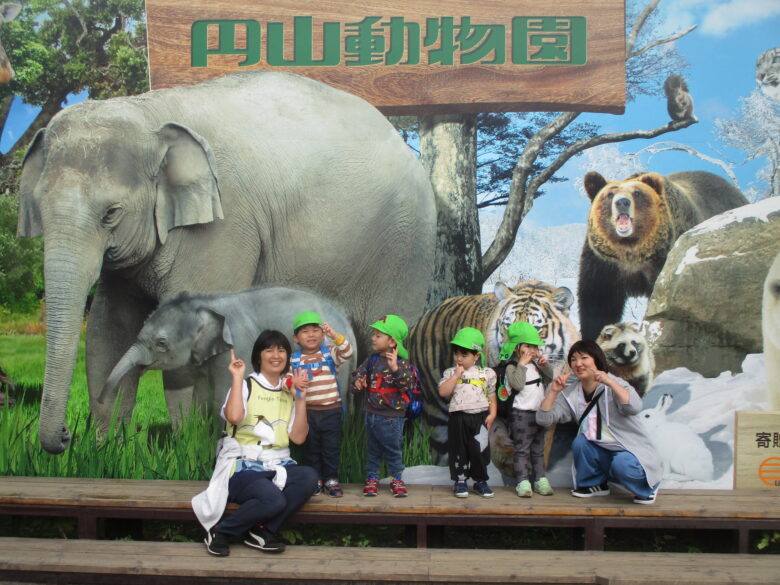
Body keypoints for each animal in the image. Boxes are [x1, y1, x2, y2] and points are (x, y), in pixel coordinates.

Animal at [99, 286, 354, 424]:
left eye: (161, 344)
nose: (101, 400)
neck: (205, 302)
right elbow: (202, 398)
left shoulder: (236, 347)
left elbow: (223, 396)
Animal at [580, 170, 748, 338]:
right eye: (610, 194)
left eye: (637, 193)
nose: (622, 202)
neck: (632, 251)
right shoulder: (604, 265)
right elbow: (598, 306)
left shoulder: (664, 262)